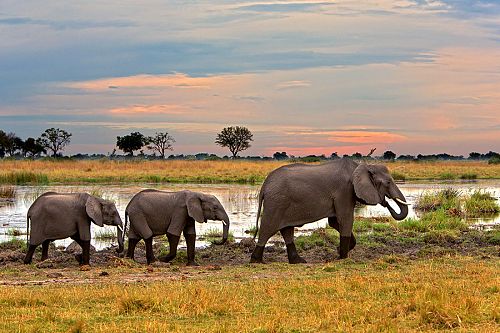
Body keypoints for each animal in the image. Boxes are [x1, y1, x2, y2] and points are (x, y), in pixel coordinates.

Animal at [252, 158, 408, 262]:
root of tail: (264, 185)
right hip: (277, 202)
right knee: (268, 227)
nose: (386, 203)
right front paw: (343, 258)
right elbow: (345, 219)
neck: (360, 166)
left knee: (287, 230)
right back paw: (256, 260)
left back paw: (298, 261)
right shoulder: (344, 191)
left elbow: (334, 222)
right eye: (388, 182)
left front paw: (339, 251)